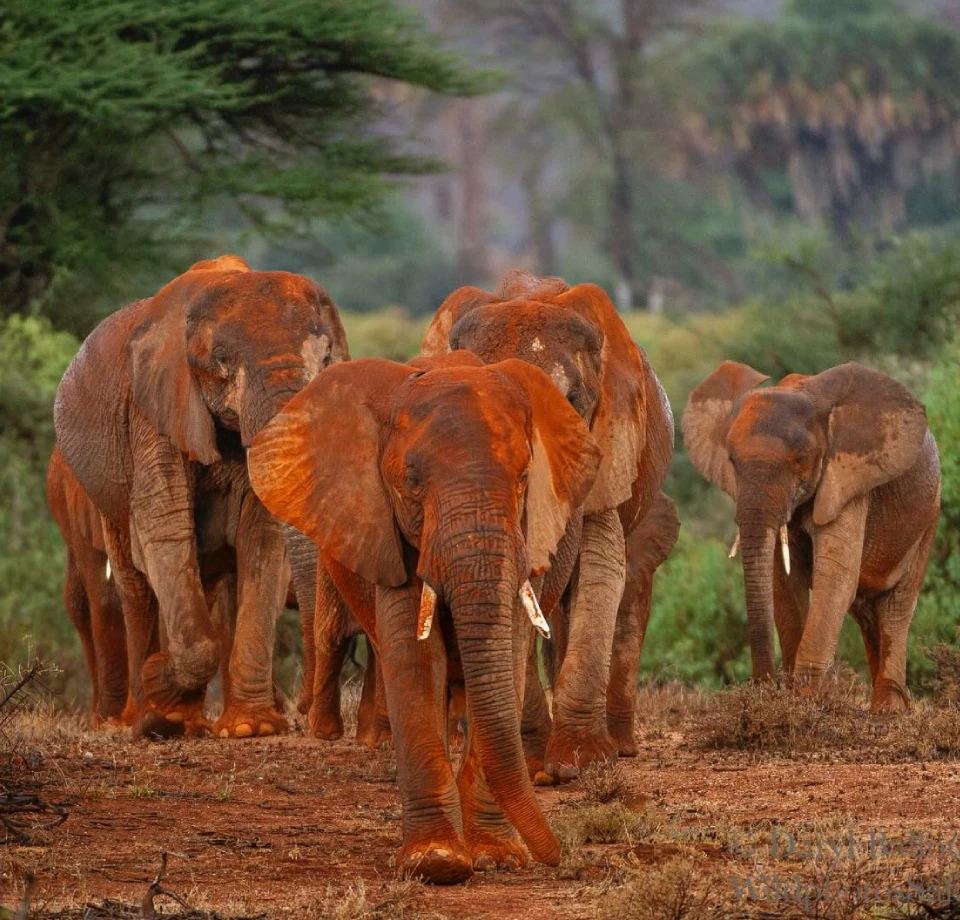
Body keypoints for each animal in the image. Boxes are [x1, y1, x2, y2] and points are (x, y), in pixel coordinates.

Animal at [248, 352, 601, 883]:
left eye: (524, 478)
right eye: (411, 484)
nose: (559, 855)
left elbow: (509, 651)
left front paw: (497, 858)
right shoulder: (386, 531)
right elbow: (414, 660)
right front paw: (436, 864)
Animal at [420, 270, 674, 780]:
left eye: (572, 402)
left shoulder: (609, 443)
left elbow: (602, 569)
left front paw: (579, 765)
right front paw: (537, 764)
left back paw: (618, 748)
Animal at [682, 361, 940, 709]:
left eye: (800, 460)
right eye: (732, 462)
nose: (764, 688)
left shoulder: (847, 480)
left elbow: (835, 578)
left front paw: (806, 702)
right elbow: (784, 582)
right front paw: (794, 702)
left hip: (929, 517)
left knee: (897, 608)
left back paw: (889, 711)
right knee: (867, 611)